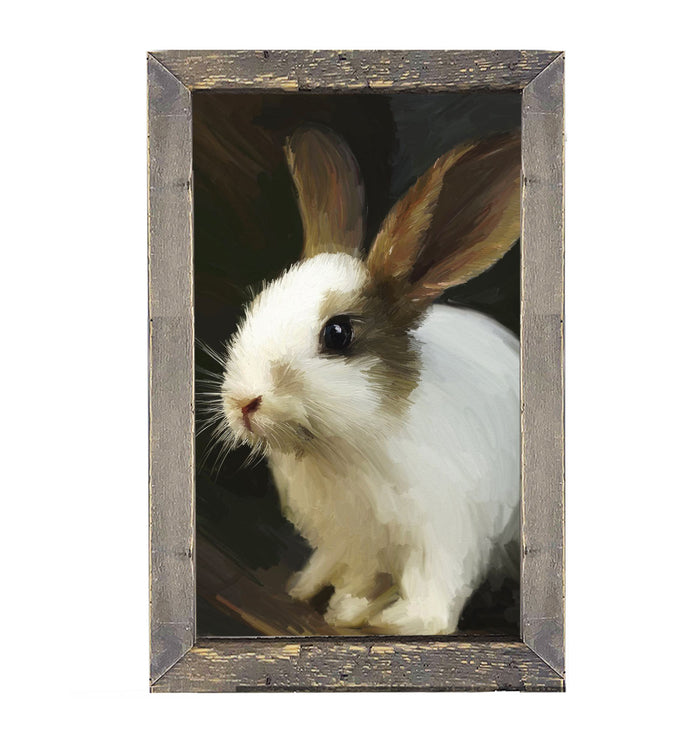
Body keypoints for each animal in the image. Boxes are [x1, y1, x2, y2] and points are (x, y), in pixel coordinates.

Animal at [217, 125, 522, 635]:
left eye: (338, 334)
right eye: (258, 303)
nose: (243, 402)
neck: (345, 447)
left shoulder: (445, 535)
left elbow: (433, 595)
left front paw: (400, 622)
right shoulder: (353, 542)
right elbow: (359, 579)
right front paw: (346, 608)